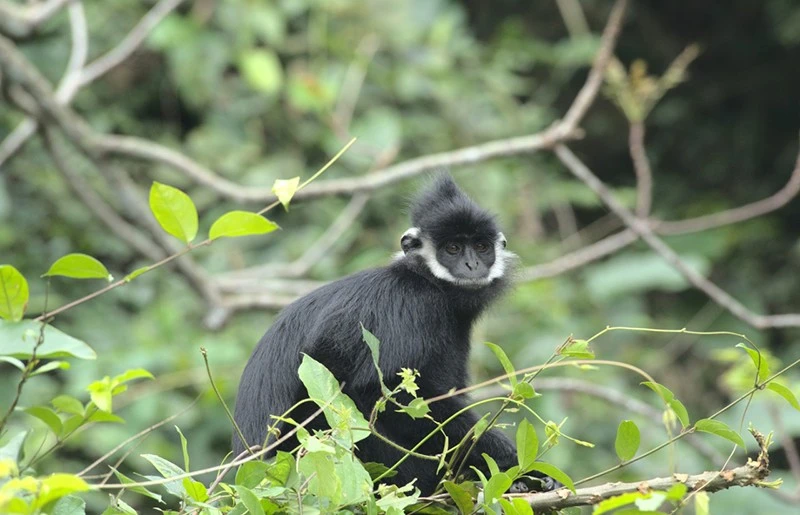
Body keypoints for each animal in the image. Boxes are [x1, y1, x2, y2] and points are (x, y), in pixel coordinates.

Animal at [234, 176, 552, 496]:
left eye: (481, 246)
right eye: (452, 248)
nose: (472, 265)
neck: (426, 281)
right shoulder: (407, 305)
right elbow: (368, 388)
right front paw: (513, 462)